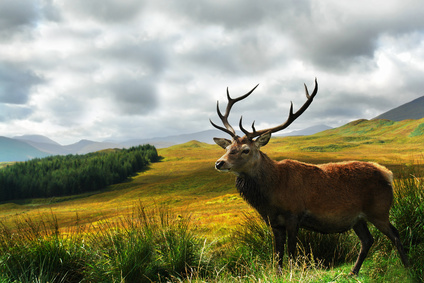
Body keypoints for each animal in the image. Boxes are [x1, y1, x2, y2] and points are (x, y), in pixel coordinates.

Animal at [210, 79, 410, 276]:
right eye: (227, 148)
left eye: (245, 150)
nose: (219, 163)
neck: (271, 194)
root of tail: (388, 174)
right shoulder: (274, 222)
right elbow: (277, 254)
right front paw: (279, 274)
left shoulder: (294, 214)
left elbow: (291, 251)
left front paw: (292, 273)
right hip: (357, 218)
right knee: (368, 240)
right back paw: (353, 272)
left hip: (379, 210)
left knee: (395, 234)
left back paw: (408, 268)